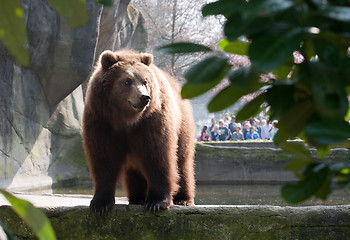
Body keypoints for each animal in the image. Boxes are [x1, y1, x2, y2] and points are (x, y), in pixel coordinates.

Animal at [83, 49, 196, 214]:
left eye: (145, 81)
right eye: (127, 81)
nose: (144, 97)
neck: (126, 120)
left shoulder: (151, 121)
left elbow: (158, 156)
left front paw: (156, 202)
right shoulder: (102, 121)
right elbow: (104, 158)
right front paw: (100, 204)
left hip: (182, 125)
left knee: (182, 161)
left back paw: (184, 199)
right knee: (134, 169)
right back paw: (137, 198)